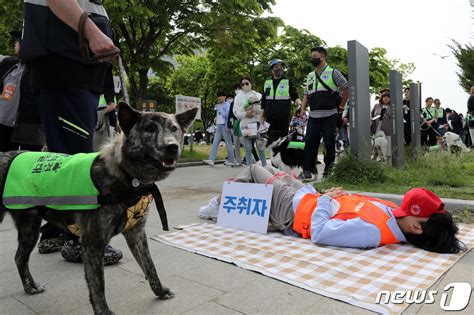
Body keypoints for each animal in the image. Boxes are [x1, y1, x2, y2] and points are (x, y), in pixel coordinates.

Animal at [0, 102, 198, 314]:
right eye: (149, 129)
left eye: (174, 129)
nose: (172, 147)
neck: (126, 177)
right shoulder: (93, 244)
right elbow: (98, 285)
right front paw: (103, 310)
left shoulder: (136, 234)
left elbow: (149, 266)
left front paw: (160, 291)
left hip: (30, 229)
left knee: (19, 257)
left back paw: (30, 286)